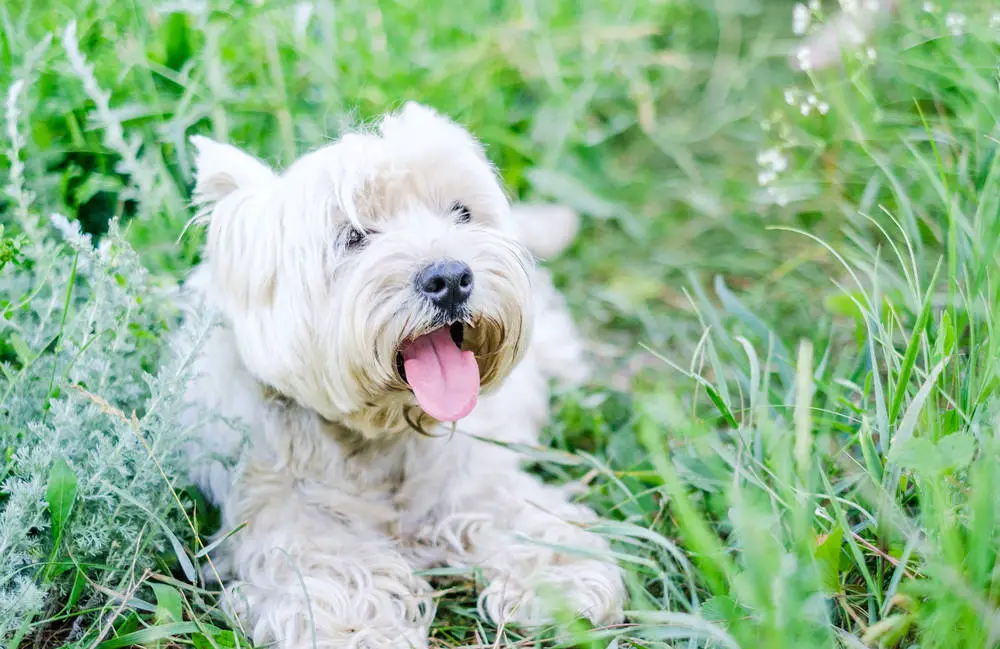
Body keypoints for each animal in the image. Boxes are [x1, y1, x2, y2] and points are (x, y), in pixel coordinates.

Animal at [176, 102, 620, 648]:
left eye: (462, 212)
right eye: (353, 236)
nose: (450, 276)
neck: (383, 436)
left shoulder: (472, 472)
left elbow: (512, 511)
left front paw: (563, 577)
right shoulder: (283, 511)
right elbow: (330, 569)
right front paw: (359, 630)